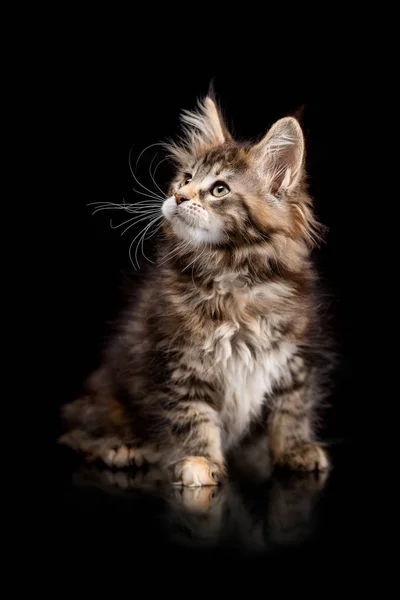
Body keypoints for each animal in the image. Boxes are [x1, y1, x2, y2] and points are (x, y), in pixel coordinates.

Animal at [59, 95, 332, 488]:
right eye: (186, 179)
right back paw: (122, 448)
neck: (234, 275)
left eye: (219, 189)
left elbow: (291, 409)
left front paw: (296, 449)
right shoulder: (180, 363)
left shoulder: (294, 355)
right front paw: (200, 460)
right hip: (104, 401)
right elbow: (193, 417)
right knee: (78, 429)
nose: (177, 196)